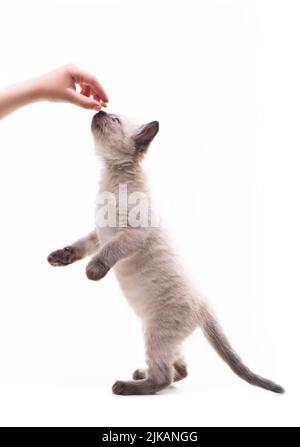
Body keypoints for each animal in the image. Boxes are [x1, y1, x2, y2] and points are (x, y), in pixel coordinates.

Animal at [47, 111, 284, 396]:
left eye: (114, 120)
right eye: (107, 115)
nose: (99, 112)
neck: (112, 178)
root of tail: (204, 304)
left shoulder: (129, 234)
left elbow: (108, 252)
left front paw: (93, 271)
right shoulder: (99, 233)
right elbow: (80, 246)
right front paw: (59, 257)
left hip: (155, 332)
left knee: (163, 377)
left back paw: (126, 386)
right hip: (163, 336)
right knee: (178, 370)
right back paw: (140, 373)